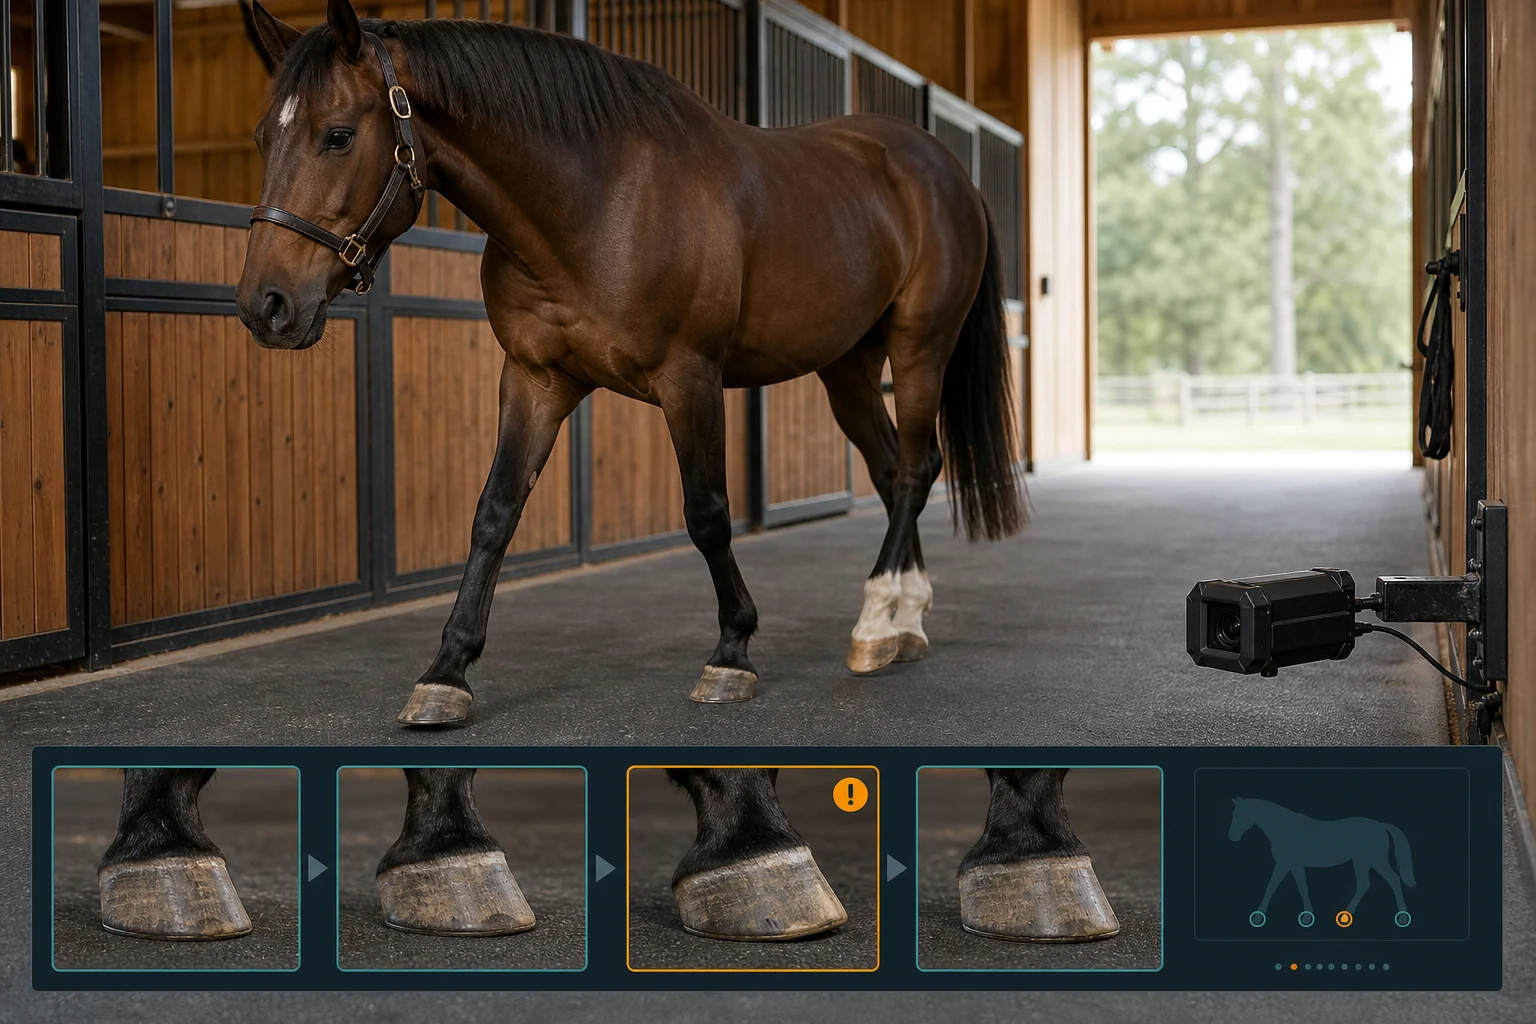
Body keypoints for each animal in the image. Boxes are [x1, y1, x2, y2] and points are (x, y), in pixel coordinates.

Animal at [234, 0, 1026, 727]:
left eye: (338, 136)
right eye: (263, 137)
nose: (265, 306)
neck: (597, 201)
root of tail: (944, 169)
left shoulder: (690, 379)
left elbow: (707, 513)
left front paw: (732, 654)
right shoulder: (534, 379)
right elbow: (494, 514)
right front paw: (446, 673)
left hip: (920, 349)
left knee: (916, 469)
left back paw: (876, 617)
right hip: (847, 368)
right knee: (892, 471)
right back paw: (898, 624)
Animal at [1227, 796, 1415, 927]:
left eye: (1241, 815)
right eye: (1234, 815)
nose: (1232, 837)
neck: (1285, 829)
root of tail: (1380, 825)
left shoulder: (1285, 864)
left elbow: (1273, 886)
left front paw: (1258, 917)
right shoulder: (1293, 865)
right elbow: (1300, 887)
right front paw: (1307, 916)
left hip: (1376, 860)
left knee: (1393, 880)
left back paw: (1402, 916)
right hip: (1361, 861)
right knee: (1364, 884)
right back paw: (1346, 914)